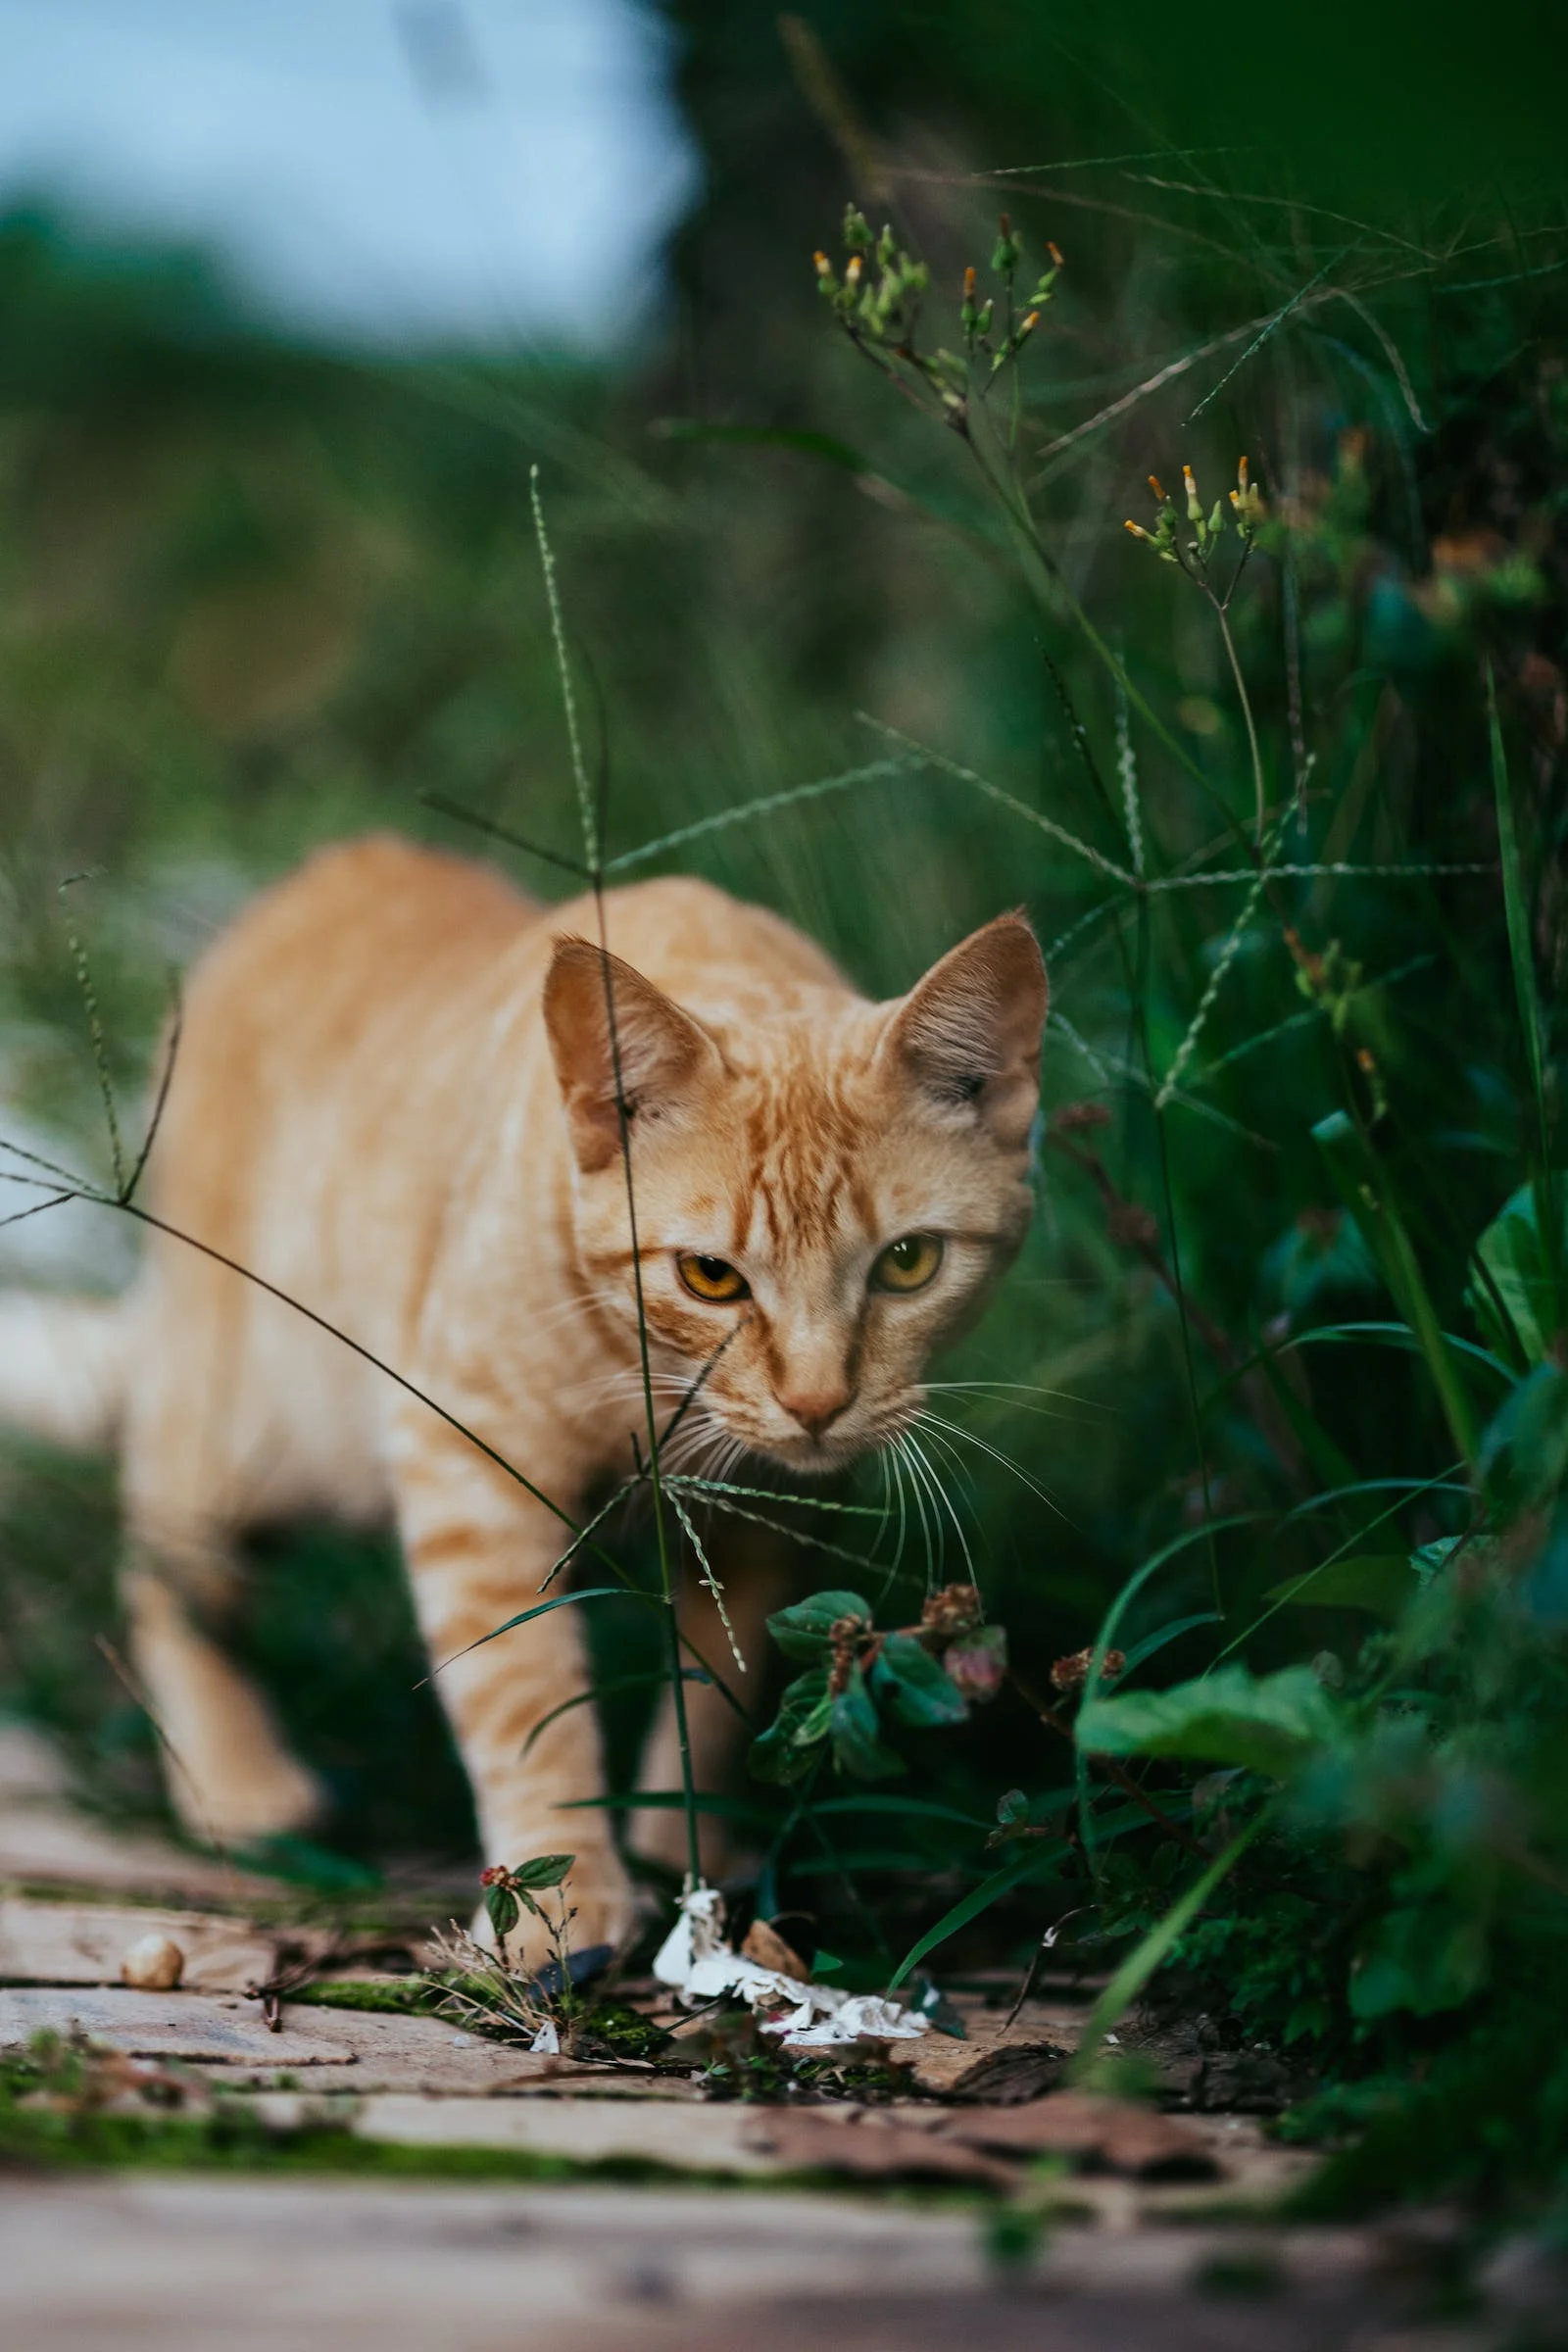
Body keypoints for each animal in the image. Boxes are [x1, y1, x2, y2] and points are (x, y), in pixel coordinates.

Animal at [3, 837, 1053, 1956]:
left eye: (907, 1263)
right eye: (710, 1277)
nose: (816, 1401)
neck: (649, 1393)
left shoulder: (767, 1517)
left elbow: (718, 1688)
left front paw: (688, 1847)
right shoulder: (469, 1469)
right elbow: (524, 1697)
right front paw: (567, 1899)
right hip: (247, 1432)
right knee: (167, 1570)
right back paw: (241, 1783)